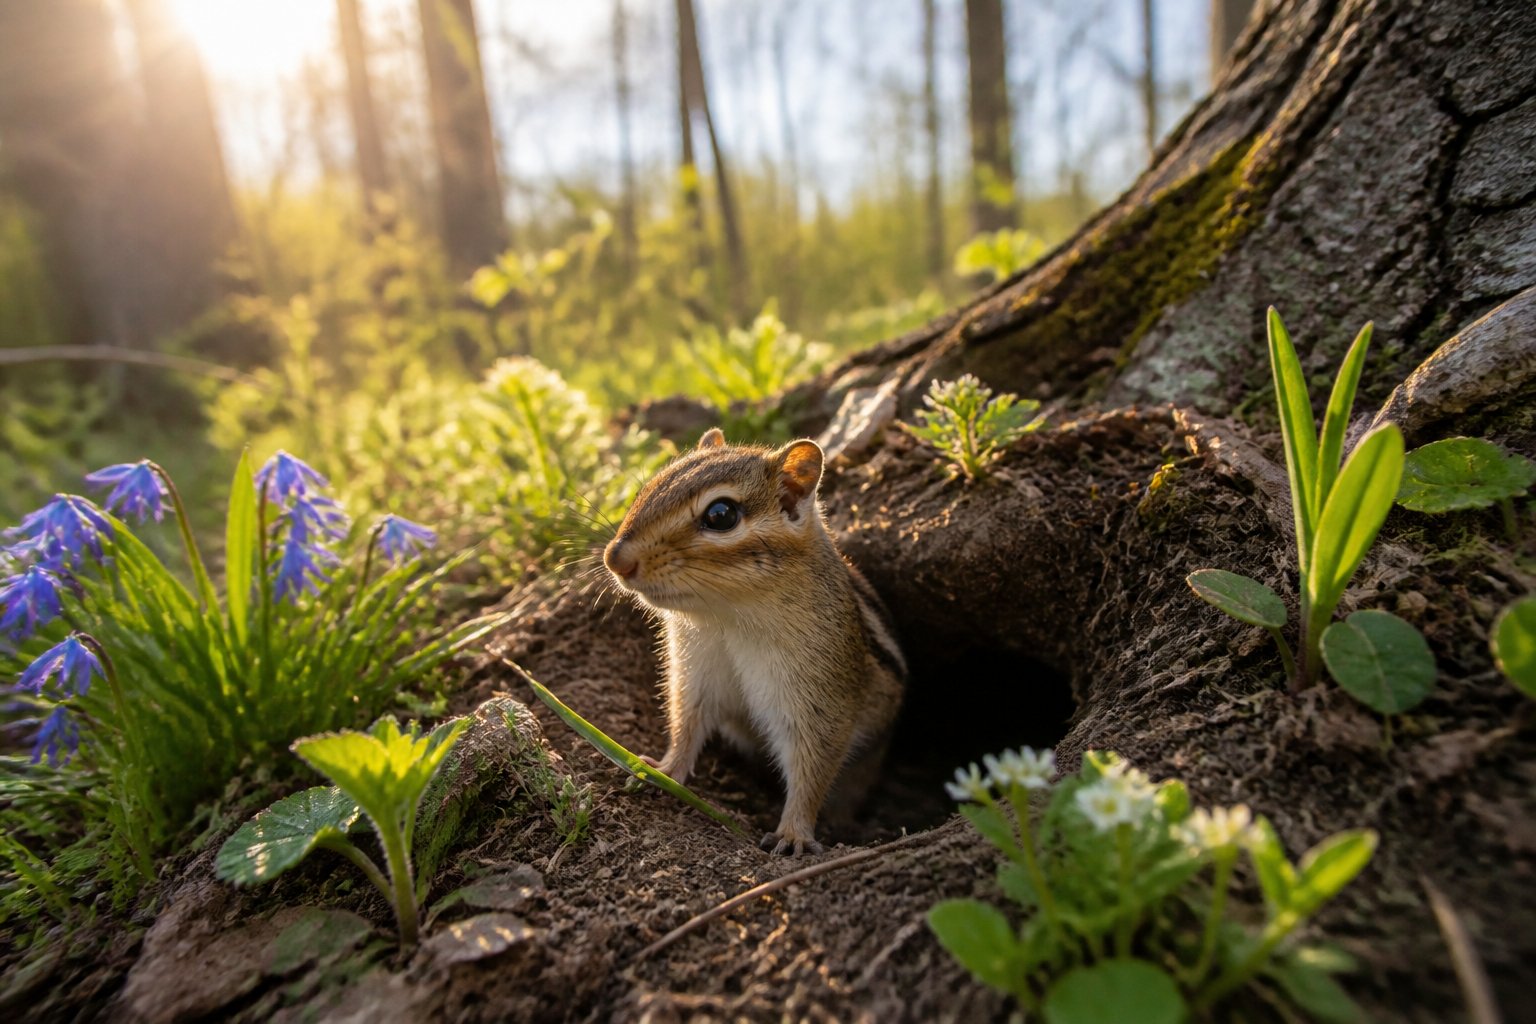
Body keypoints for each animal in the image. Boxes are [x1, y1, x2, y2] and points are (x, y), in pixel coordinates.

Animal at [603, 427, 906, 855]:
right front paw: (662, 771)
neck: (728, 619)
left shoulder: (820, 700)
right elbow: (686, 725)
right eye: (650, 486)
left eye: (721, 515)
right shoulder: (695, 674)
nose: (615, 559)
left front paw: (794, 833)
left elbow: (813, 767)